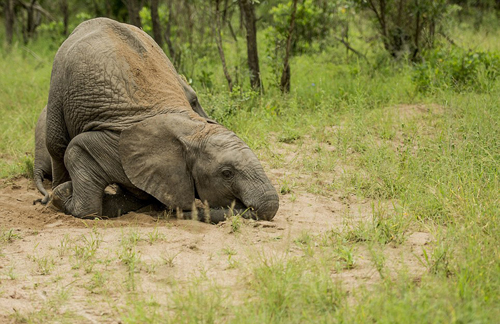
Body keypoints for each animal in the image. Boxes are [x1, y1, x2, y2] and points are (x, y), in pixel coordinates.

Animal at [45, 18, 280, 223]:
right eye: (227, 173)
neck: (191, 129)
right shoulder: (116, 147)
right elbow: (79, 151)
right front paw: (62, 193)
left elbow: (135, 197)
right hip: (58, 79)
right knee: (56, 144)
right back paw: (55, 191)